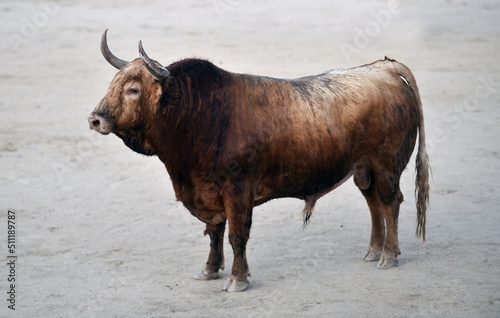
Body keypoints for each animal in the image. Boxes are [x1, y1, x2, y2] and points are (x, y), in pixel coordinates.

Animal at [89, 30, 430, 294]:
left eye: (133, 89)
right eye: (112, 83)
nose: (95, 119)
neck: (198, 117)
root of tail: (383, 69)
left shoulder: (237, 190)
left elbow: (236, 235)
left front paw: (237, 279)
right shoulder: (207, 192)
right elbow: (214, 232)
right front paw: (210, 269)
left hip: (386, 166)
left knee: (390, 203)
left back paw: (389, 255)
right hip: (364, 169)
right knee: (374, 204)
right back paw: (373, 251)